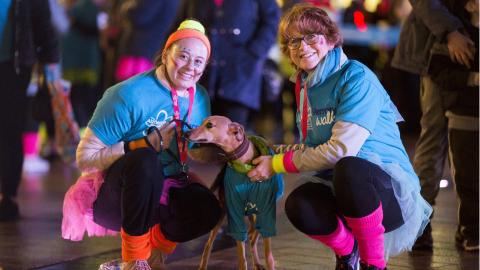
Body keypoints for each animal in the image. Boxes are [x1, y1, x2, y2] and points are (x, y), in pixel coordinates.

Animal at [187, 116, 284, 270]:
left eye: (209, 125)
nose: (187, 133)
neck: (245, 165)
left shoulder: (266, 211)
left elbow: (268, 255)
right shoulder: (235, 212)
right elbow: (241, 255)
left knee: (253, 235)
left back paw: (257, 261)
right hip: (222, 213)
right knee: (210, 243)